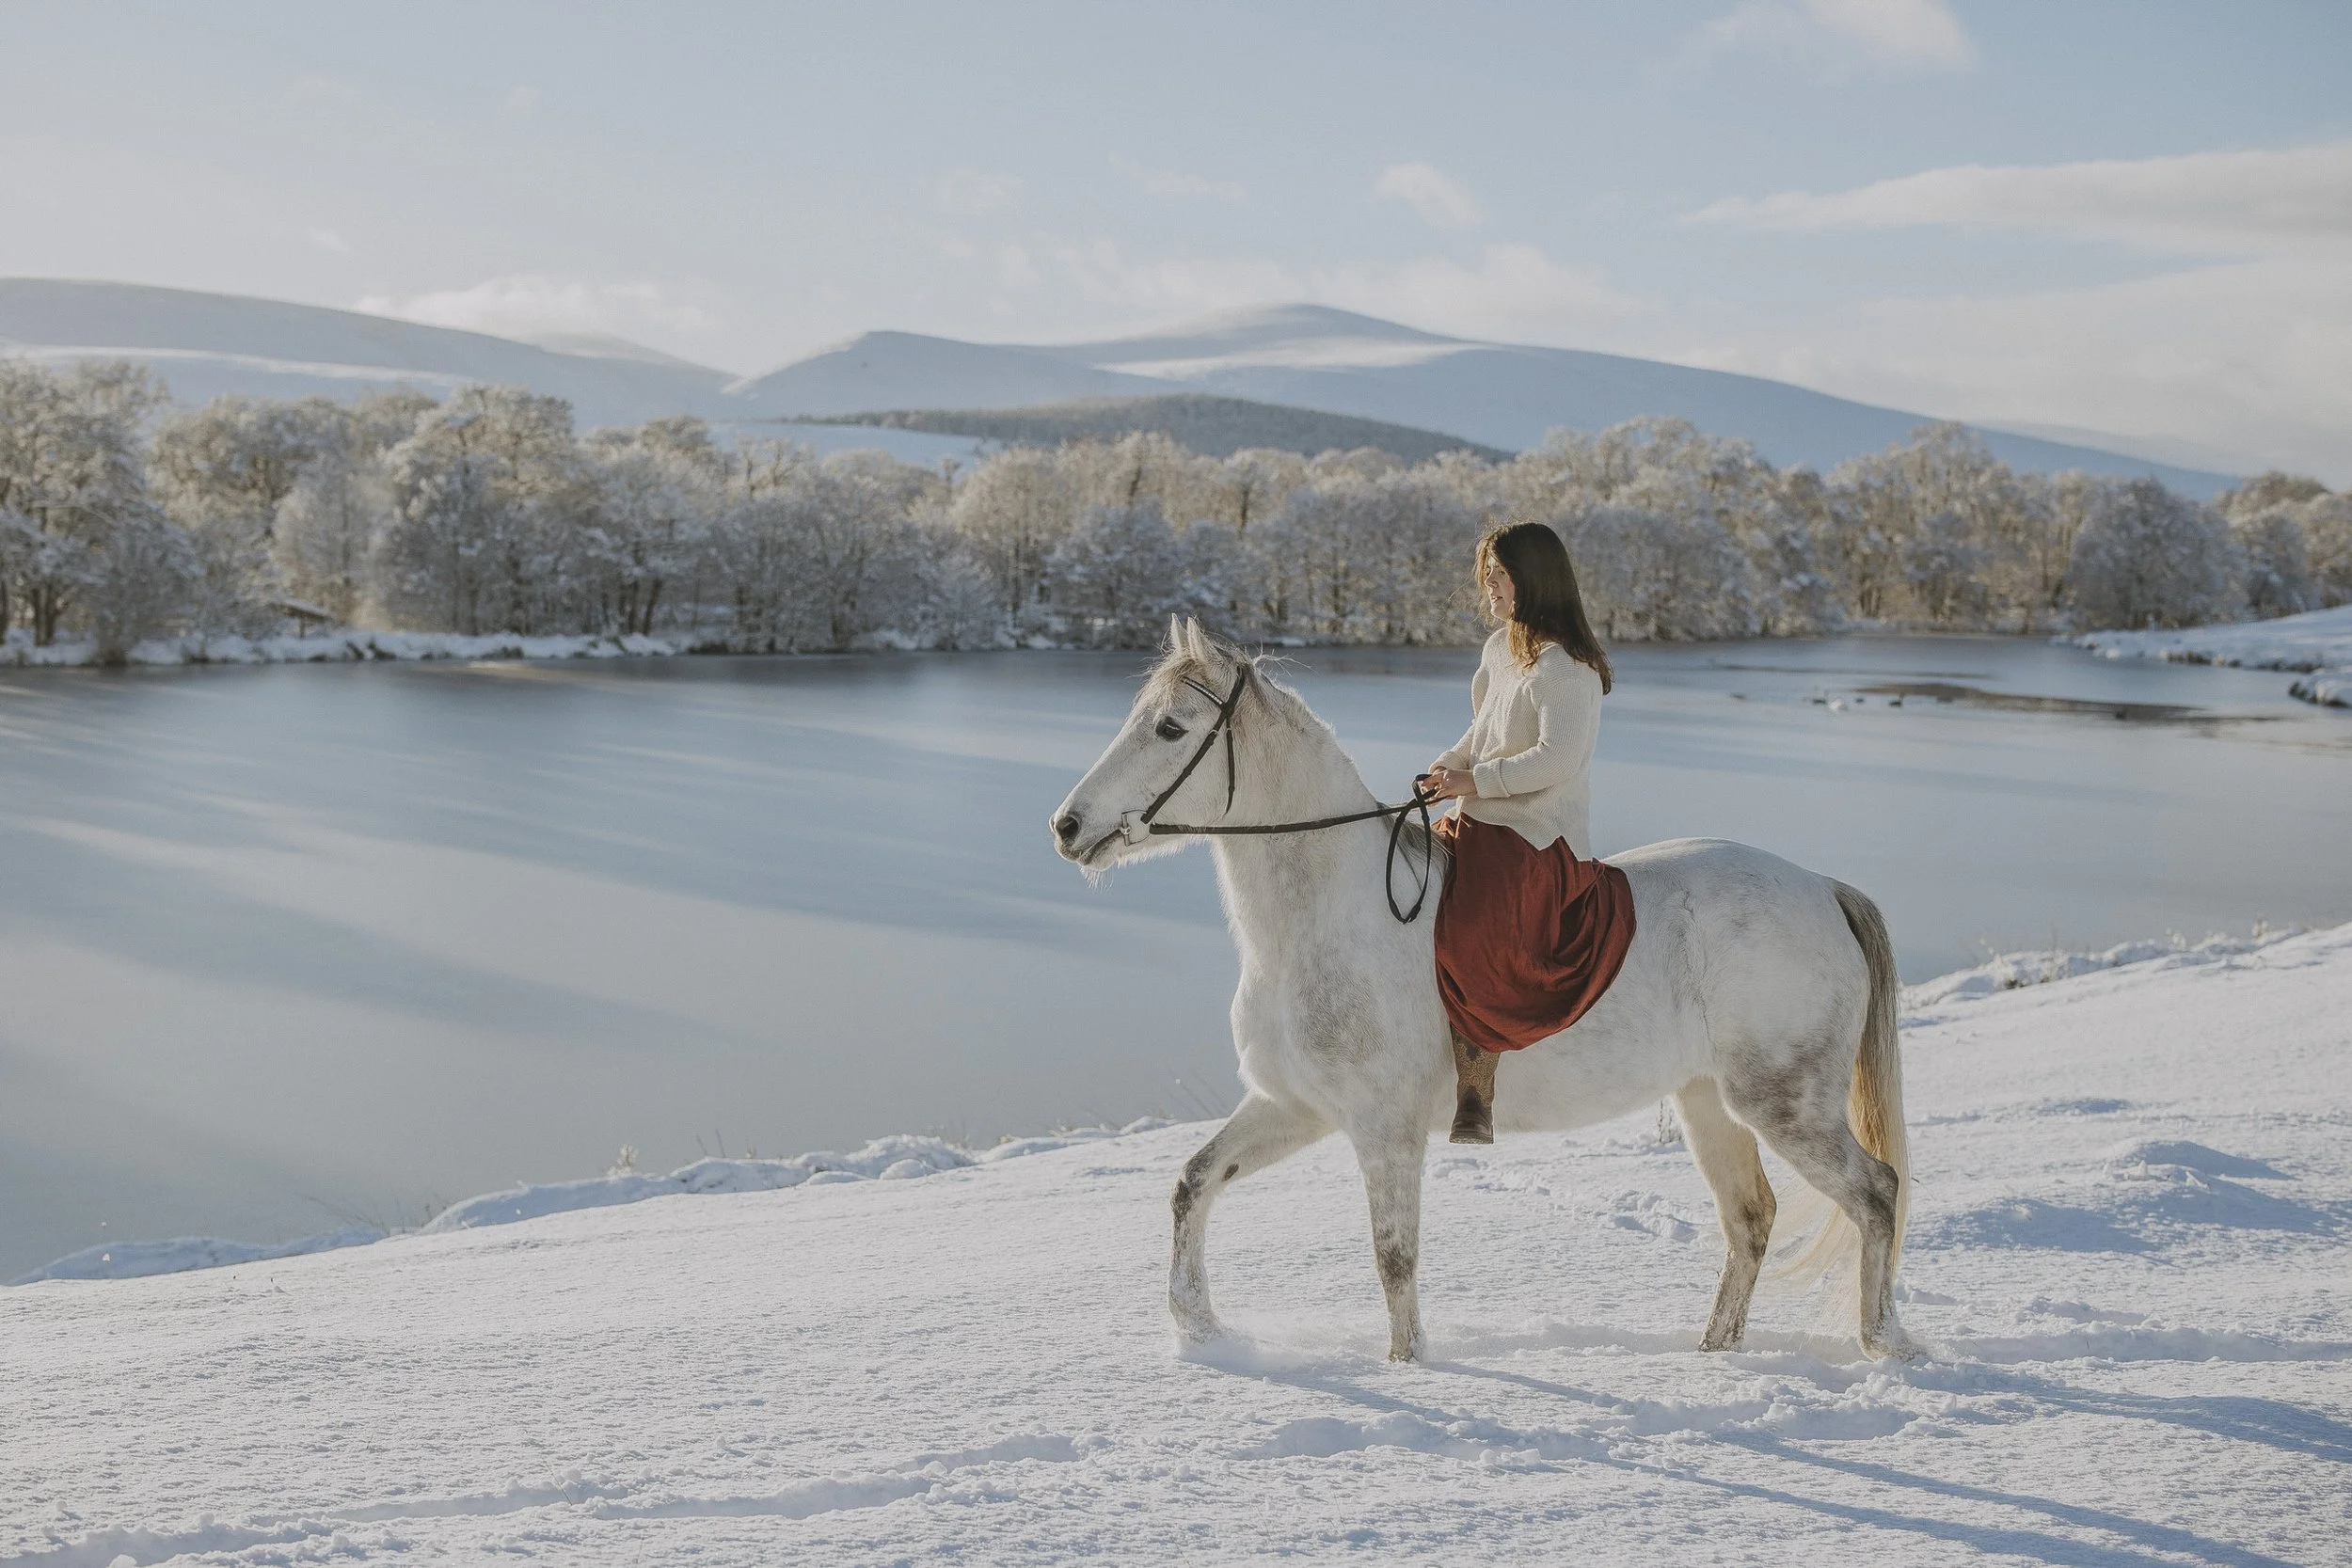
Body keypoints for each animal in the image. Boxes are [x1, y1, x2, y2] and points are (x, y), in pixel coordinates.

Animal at [1050, 620, 1913, 1362]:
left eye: (1170, 728)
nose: (1067, 826)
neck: (1326, 916)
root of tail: (1823, 889)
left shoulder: (1386, 1130)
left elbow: (1394, 1257)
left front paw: (1409, 1366)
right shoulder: (1292, 1106)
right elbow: (1193, 1183)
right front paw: (1196, 1326)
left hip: (1784, 1104)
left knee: (1876, 1192)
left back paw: (1883, 1345)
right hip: (1711, 1104)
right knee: (1751, 1219)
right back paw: (1715, 1353)